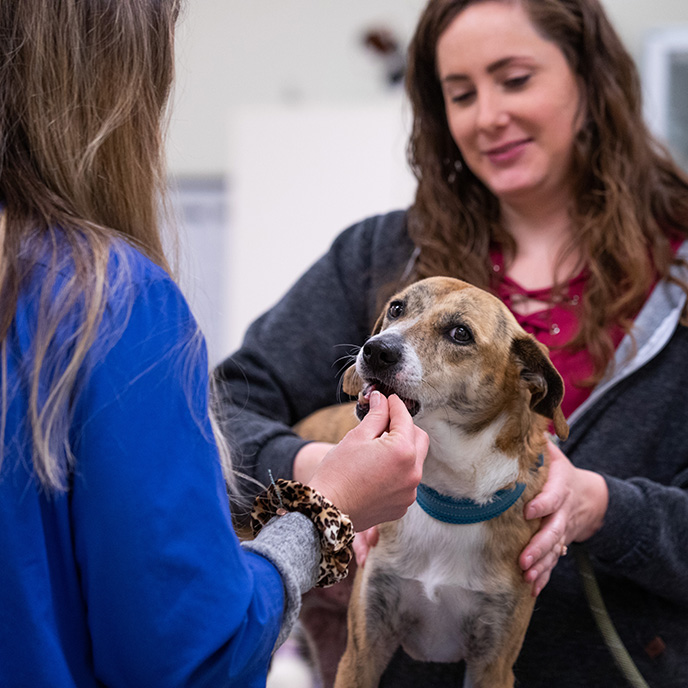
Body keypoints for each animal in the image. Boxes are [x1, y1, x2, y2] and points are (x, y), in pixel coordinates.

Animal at [296, 276, 568, 688]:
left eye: (460, 333)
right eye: (396, 308)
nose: (376, 351)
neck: (450, 495)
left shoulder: (493, 663)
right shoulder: (363, 650)